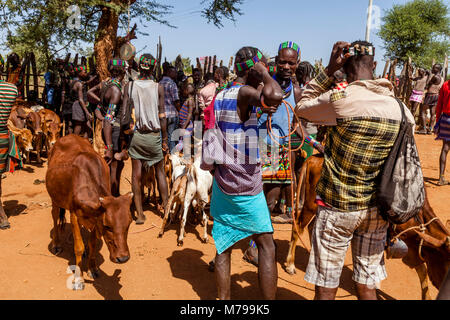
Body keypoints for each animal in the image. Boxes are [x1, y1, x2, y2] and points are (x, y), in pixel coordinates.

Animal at [46, 134, 134, 288]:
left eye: (128, 225)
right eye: (107, 226)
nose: (123, 258)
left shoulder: (96, 219)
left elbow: (92, 244)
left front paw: (92, 268)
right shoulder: (74, 215)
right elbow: (78, 247)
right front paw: (78, 278)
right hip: (55, 199)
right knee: (55, 216)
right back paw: (56, 244)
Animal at [284, 155, 450, 300]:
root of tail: (314, 158)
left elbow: (422, 271)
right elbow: (421, 270)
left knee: (312, 227)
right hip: (310, 205)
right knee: (298, 225)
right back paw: (290, 265)